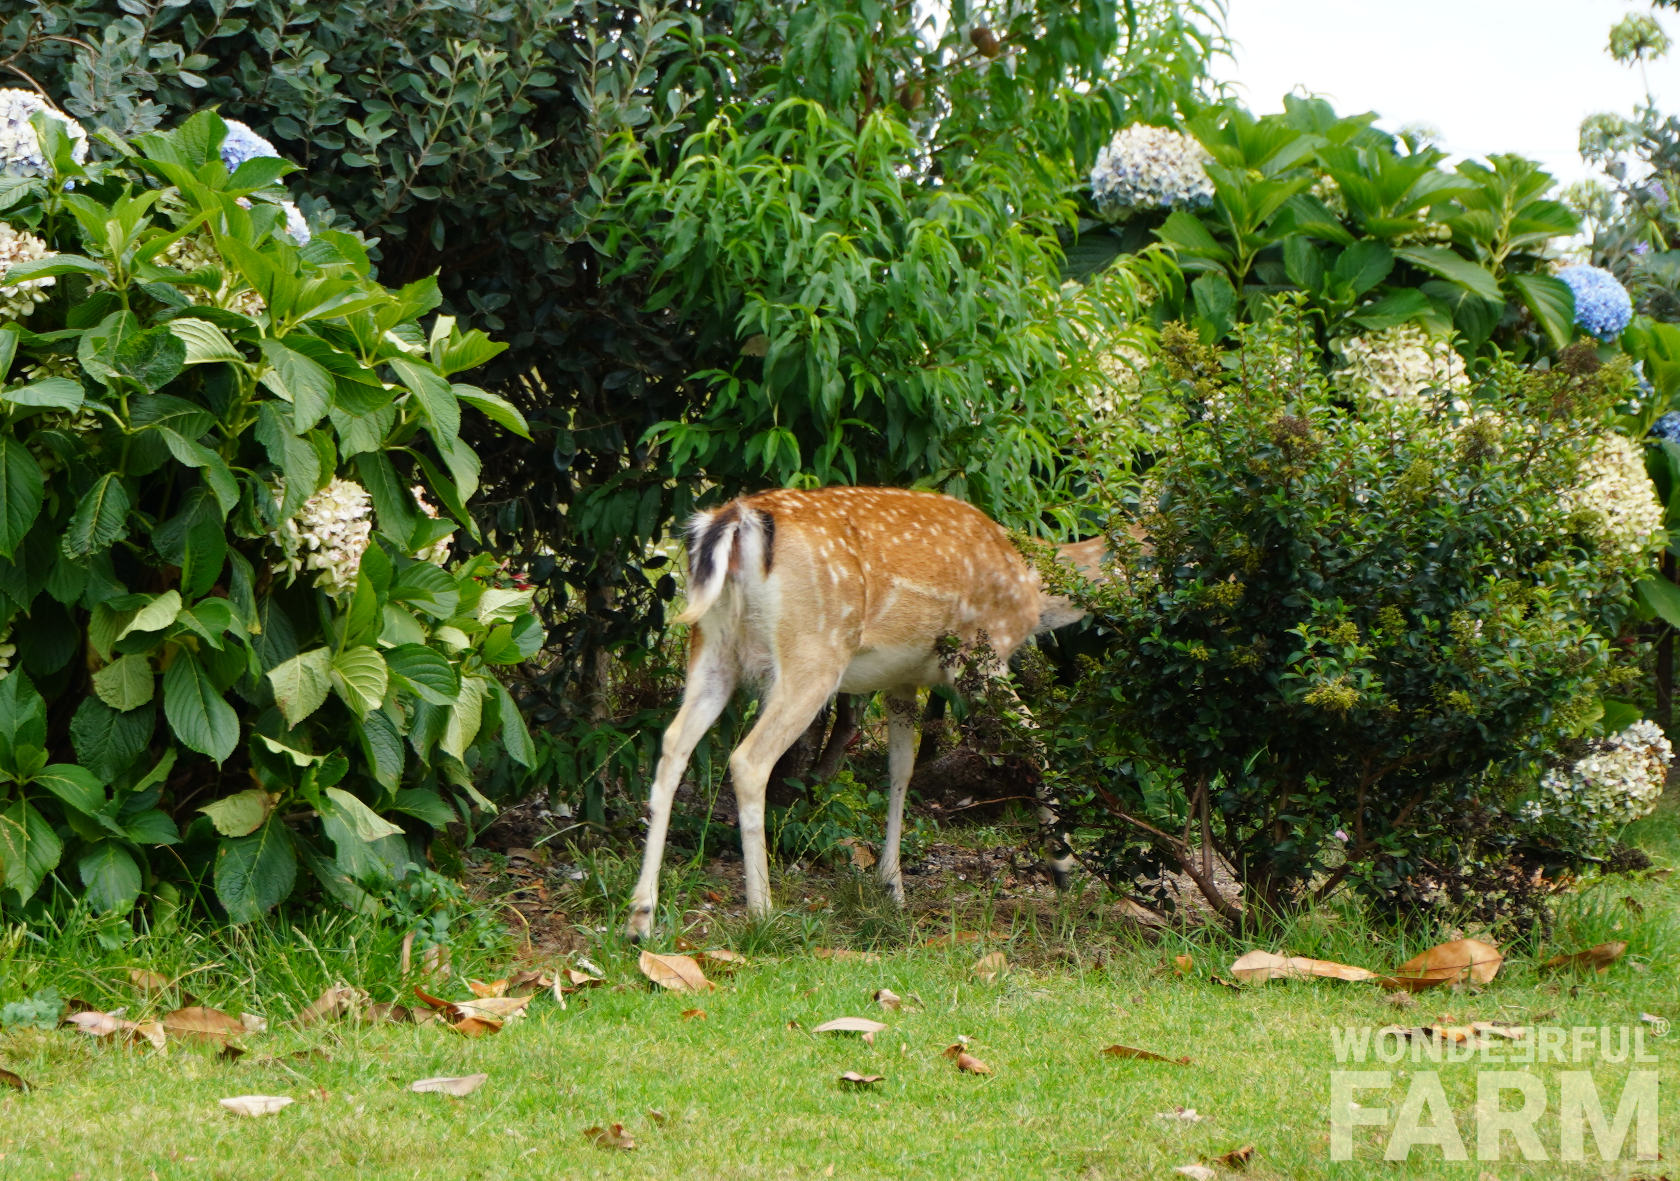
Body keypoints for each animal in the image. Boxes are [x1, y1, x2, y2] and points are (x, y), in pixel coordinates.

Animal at [624, 485, 1109, 941]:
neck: (1032, 587)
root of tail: (733, 520)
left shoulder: (902, 681)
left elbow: (901, 768)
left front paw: (891, 885)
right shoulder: (980, 658)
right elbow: (1038, 744)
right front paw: (1062, 865)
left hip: (711, 646)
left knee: (673, 744)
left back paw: (640, 918)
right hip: (814, 650)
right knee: (748, 759)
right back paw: (762, 913)